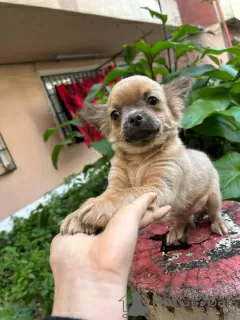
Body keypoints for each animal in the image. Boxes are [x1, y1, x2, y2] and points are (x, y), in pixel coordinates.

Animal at [60, 75, 229, 244]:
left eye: (152, 100)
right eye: (114, 115)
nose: (134, 117)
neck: (140, 158)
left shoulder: (160, 188)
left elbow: (128, 193)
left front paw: (98, 206)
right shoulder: (116, 186)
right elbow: (109, 194)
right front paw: (76, 216)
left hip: (214, 196)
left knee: (214, 212)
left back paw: (218, 224)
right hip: (181, 208)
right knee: (183, 217)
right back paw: (176, 231)